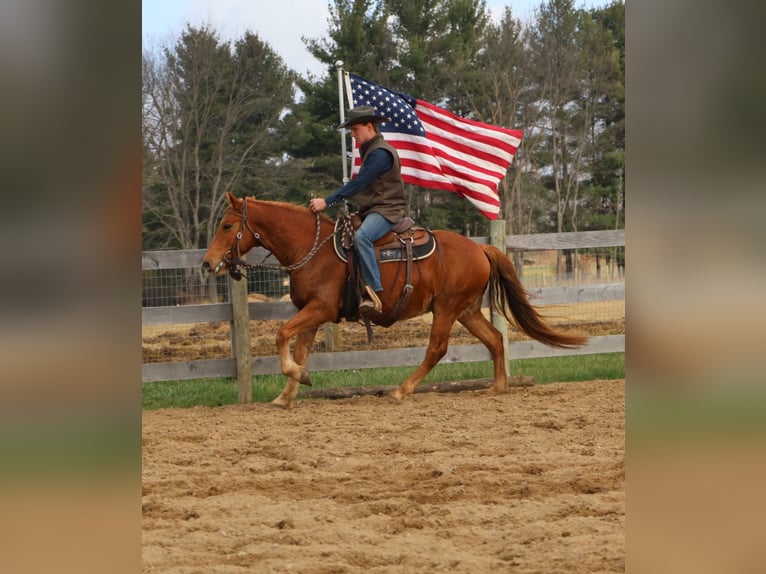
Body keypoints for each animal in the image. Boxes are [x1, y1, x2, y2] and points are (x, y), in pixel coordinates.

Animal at [201, 192, 587, 408]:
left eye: (226, 225)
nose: (208, 263)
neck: (313, 250)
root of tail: (481, 248)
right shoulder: (310, 313)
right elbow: (299, 349)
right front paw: (288, 394)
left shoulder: (320, 309)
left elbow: (282, 335)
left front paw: (299, 379)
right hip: (465, 309)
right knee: (494, 339)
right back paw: (498, 387)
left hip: (446, 309)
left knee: (437, 348)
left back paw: (402, 391)